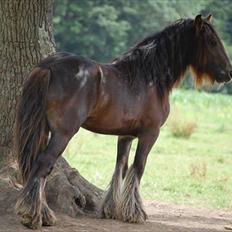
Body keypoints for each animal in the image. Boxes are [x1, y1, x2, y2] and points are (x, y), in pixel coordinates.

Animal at [14, 15, 232, 229]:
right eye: (212, 42)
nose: (228, 73)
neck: (149, 79)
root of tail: (48, 66)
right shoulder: (150, 134)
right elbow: (138, 167)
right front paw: (135, 213)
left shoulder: (125, 136)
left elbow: (121, 167)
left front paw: (112, 209)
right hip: (63, 134)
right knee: (43, 164)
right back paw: (33, 216)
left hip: (44, 130)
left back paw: (41, 214)